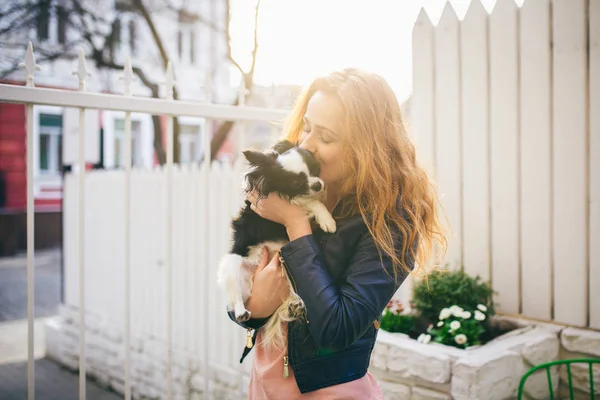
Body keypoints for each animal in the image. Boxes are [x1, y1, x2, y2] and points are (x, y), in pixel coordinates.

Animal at [217, 142, 338, 348]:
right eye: (296, 183)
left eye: (315, 168)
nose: (317, 184)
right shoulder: (292, 202)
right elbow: (312, 202)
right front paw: (326, 219)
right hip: (232, 268)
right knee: (236, 298)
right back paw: (242, 312)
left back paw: (296, 304)